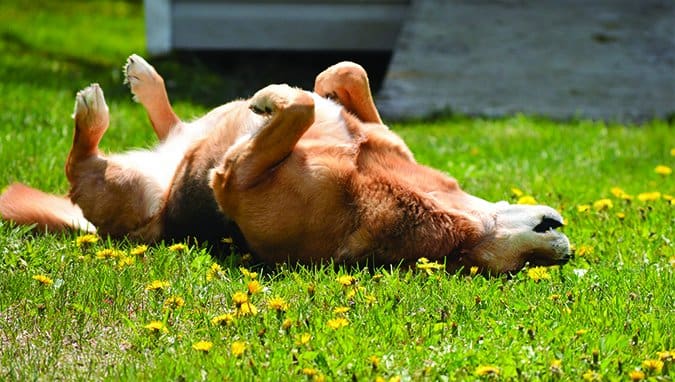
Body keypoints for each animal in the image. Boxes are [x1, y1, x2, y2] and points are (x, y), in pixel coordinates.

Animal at [0, 54, 572, 274]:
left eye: (520, 268)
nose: (565, 253)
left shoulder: (234, 180)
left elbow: (298, 109)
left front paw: (275, 97)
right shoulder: (370, 125)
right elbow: (344, 74)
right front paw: (294, 92)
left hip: (121, 192)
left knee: (80, 163)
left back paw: (93, 110)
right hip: (181, 144)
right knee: (175, 126)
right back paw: (146, 80)